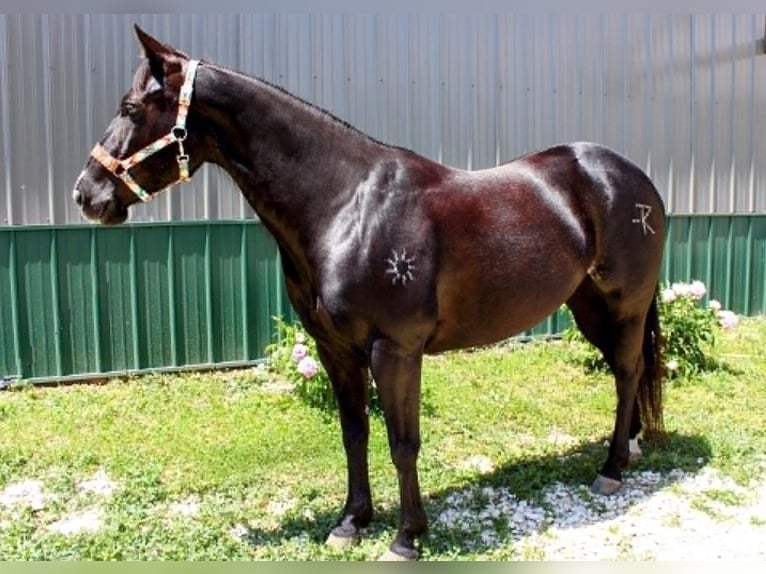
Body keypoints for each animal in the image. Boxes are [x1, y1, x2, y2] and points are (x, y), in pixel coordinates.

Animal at [73, 25, 666, 560]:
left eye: (130, 108)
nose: (86, 195)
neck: (346, 206)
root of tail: (631, 177)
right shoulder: (335, 350)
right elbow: (354, 432)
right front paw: (351, 522)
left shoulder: (395, 350)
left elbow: (403, 443)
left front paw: (406, 538)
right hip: (588, 307)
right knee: (626, 370)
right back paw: (631, 448)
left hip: (626, 305)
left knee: (627, 370)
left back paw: (612, 469)